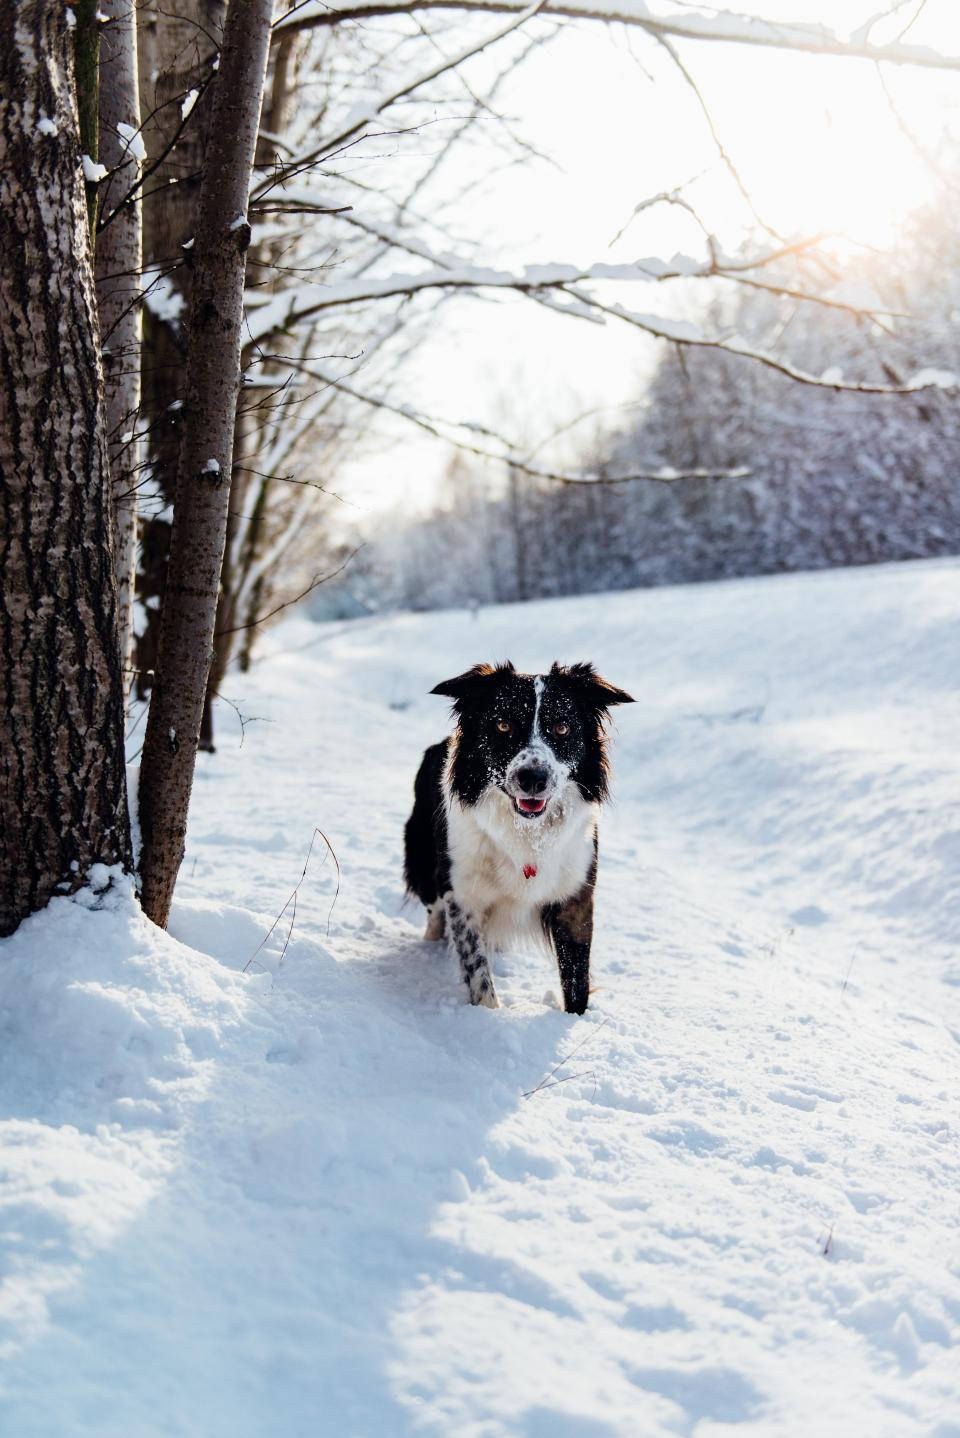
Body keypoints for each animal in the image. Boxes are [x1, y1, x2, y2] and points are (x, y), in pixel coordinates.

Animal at [402, 658, 632, 1012]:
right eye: (503, 725)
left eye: (562, 728)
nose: (533, 778)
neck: (526, 832)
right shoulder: (463, 894)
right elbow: (477, 970)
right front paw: (486, 1016)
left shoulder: (575, 896)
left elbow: (577, 978)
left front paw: (575, 1020)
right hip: (426, 864)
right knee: (434, 914)